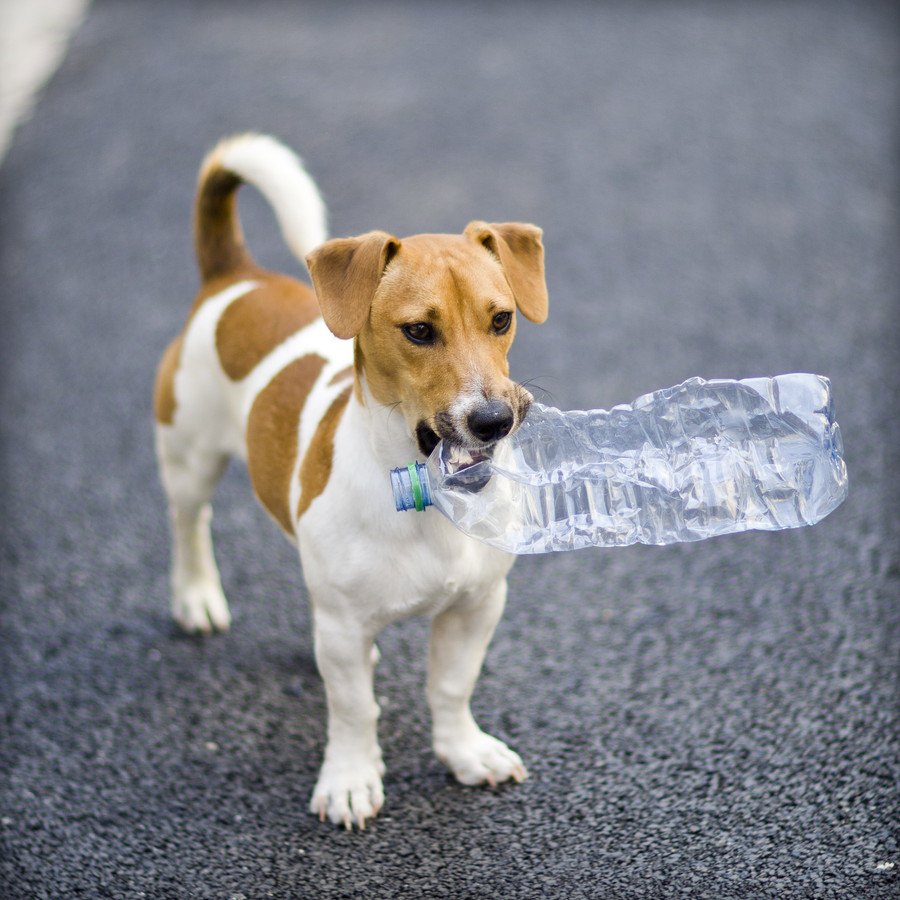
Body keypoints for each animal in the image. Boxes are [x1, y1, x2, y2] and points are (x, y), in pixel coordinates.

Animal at [154, 134, 548, 828]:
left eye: (502, 320)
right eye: (419, 330)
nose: (494, 420)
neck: (428, 502)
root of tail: (234, 276)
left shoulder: (477, 606)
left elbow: (451, 686)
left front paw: (464, 751)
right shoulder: (339, 626)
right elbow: (354, 709)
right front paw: (350, 779)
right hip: (188, 458)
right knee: (189, 522)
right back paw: (196, 596)